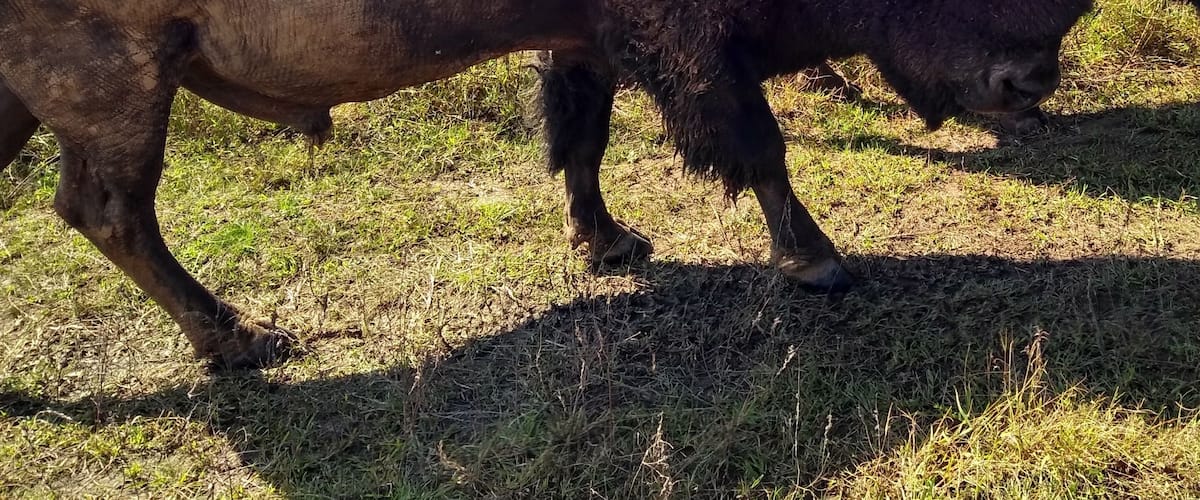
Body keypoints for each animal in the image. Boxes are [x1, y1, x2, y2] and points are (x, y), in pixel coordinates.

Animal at [0, 0, 1092, 368]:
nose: (1033, 82)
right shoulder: (689, 46)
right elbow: (758, 148)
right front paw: (818, 261)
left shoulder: (587, 41)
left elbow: (582, 141)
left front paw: (610, 242)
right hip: (121, 85)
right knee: (112, 209)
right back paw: (244, 338)